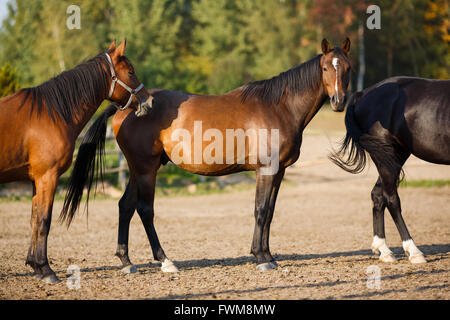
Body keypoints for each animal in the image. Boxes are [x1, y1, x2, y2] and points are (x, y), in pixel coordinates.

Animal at [0, 39, 152, 282]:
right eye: (131, 72)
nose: (149, 101)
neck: (51, 113)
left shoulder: (36, 180)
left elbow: (34, 219)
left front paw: (35, 266)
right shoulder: (47, 177)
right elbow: (44, 221)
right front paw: (46, 269)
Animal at [61, 38, 354, 272]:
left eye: (348, 68)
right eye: (325, 68)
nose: (339, 102)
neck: (278, 107)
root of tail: (130, 107)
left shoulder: (279, 171)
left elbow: (269, 212)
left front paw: (269, 255)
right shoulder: (266, 169)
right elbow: (260, 210)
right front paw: (261, 258)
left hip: (137, 169)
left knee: (125, 206)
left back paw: (126, 261)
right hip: (146, 169)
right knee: (144, 209)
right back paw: (165, 261)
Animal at [330, 76, 450, 264]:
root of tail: (363, 93)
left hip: (394, 156)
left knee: (377, 194)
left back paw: (384, 250)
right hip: (387, 155)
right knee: (391, 198)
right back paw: (414, 251)